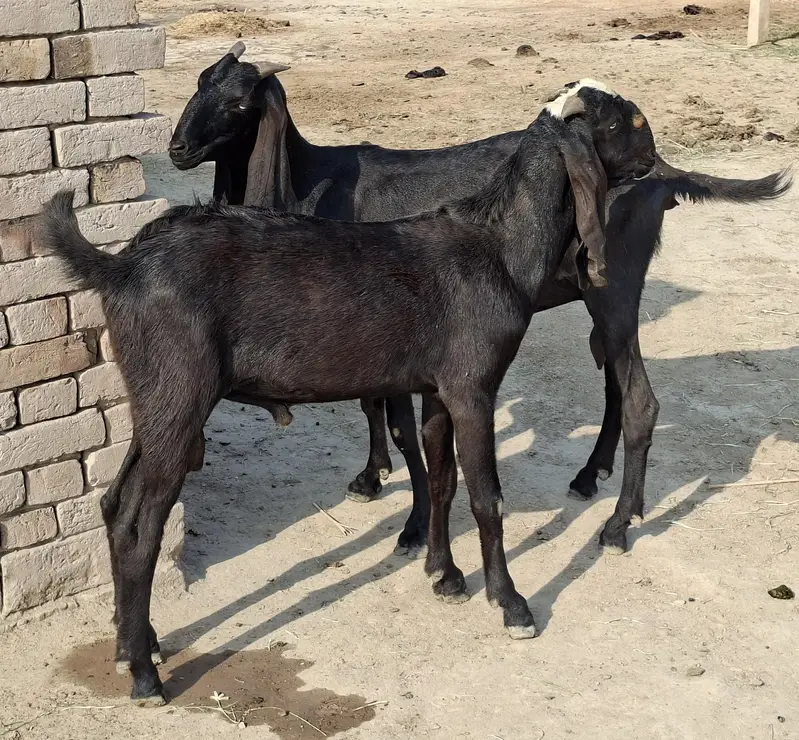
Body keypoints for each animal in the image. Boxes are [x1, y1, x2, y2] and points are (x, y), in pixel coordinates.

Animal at [43, 82, 657, 705]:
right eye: (622, 123)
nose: (654, 161)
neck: (497, 244)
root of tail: (122, 267)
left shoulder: (438, 388)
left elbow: (441, 478)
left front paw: (444, 574)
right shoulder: (473, 387)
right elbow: (487, 498)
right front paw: (510, 604)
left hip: (158, 398)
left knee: (114, 505)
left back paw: (132, 644)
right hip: (180, 394)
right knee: (140, 523)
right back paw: (144, 674)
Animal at [169, 45, 792, 560]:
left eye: (239, 103)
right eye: (199, 83)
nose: (177, 148)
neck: (311, 177)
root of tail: (660, 171)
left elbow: (403, 427)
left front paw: (413, 525)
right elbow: (373, 407)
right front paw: (372, 476)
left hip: (611, 288)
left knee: (639, 397)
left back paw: (616, 525)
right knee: (618, 384)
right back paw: (591, 476)